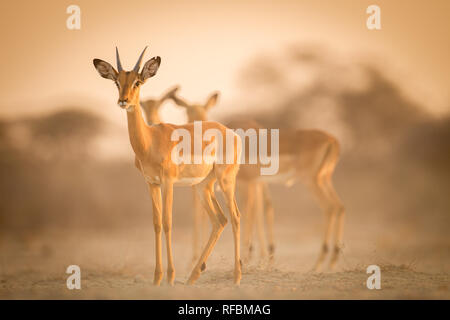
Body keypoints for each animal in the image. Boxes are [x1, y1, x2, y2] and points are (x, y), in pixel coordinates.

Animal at [92, 48, 244, 284]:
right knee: (219, 220)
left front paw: (170, 277)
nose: (123, 101)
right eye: (117, 81)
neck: (150, 141)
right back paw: (192, 277)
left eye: (137, 81)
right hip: (202, 186)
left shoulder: (168, 182)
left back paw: (236, 278)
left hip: (225, 181)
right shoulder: (151, 183)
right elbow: (156, 223)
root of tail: (231, 133)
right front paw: (157, 278)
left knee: (235, 217)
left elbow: (167, 222)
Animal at [171, 89, 344, 270]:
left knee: (330, 208)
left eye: (200, 113)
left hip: (311, 180)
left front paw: (246, 259)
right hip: (323, 179)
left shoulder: (247, 183)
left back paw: (318, 263)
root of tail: (333, 140)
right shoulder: (251, 183)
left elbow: (248, 212)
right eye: (187, 112)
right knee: (339, 206)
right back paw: (331, 261)